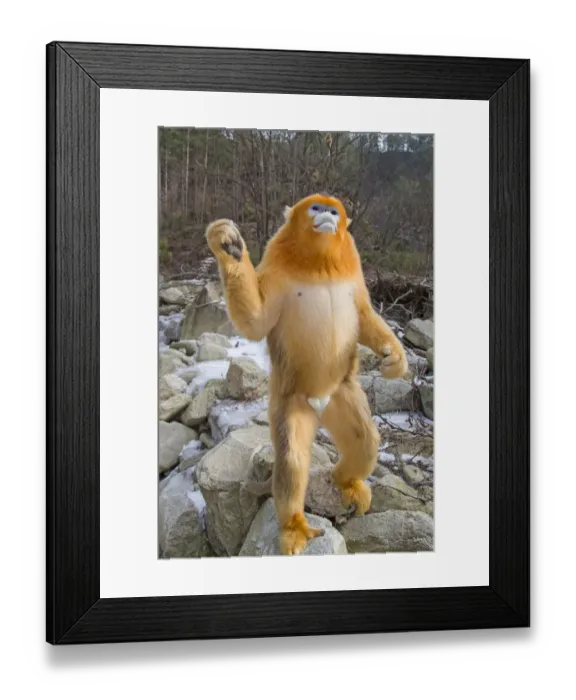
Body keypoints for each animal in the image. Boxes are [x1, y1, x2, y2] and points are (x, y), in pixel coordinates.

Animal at [206, 194, 408, 555]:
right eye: (316, 207)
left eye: (333, 210)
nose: (326, 214)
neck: (320, 265)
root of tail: (319, 402)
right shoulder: (275, 269)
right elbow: (256, 323)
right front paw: (228, 247)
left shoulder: (354, 272)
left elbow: (363, 314)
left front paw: (394, 357)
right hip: (289, 401)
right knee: (292, 459)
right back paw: (293, 525)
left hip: (343, 393)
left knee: (365, 441)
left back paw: (347, 482)